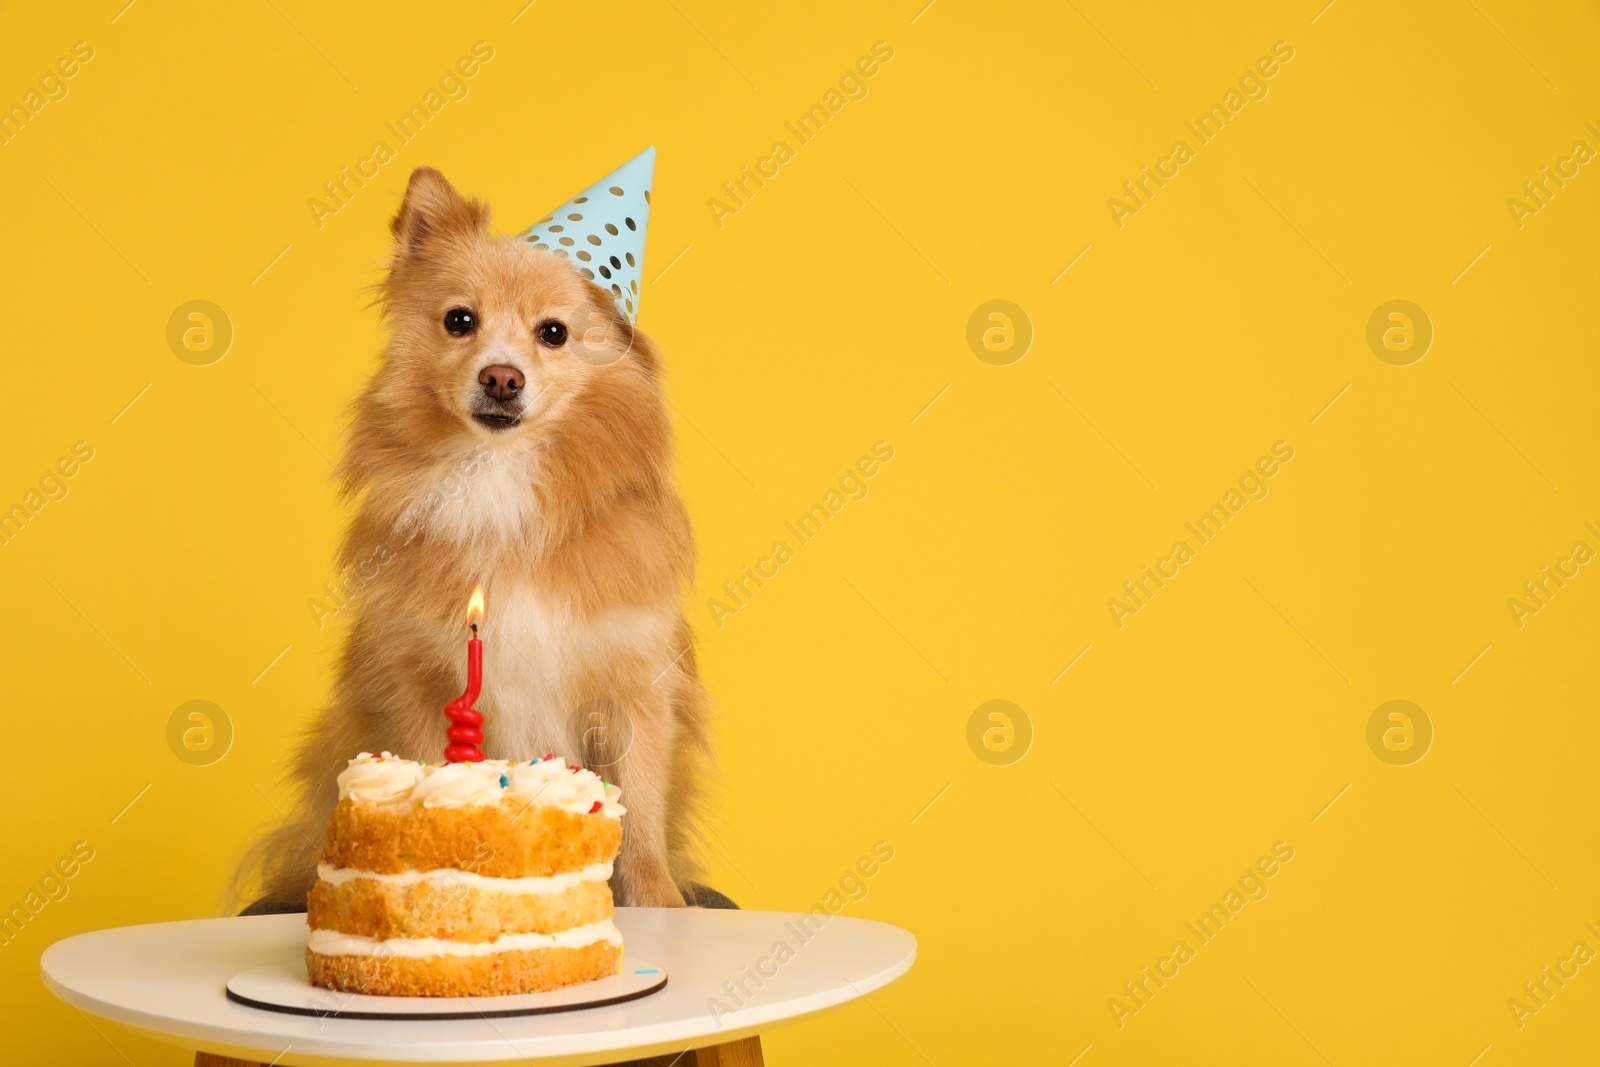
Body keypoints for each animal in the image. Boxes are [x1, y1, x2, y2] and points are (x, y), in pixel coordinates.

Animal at [238, 167, 707, 908]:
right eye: (460, 320)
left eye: (554, 333)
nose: (501, 377)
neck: (496, 474)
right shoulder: (416, 678)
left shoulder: (634, 686)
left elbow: (641, 805)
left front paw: (657, 899)